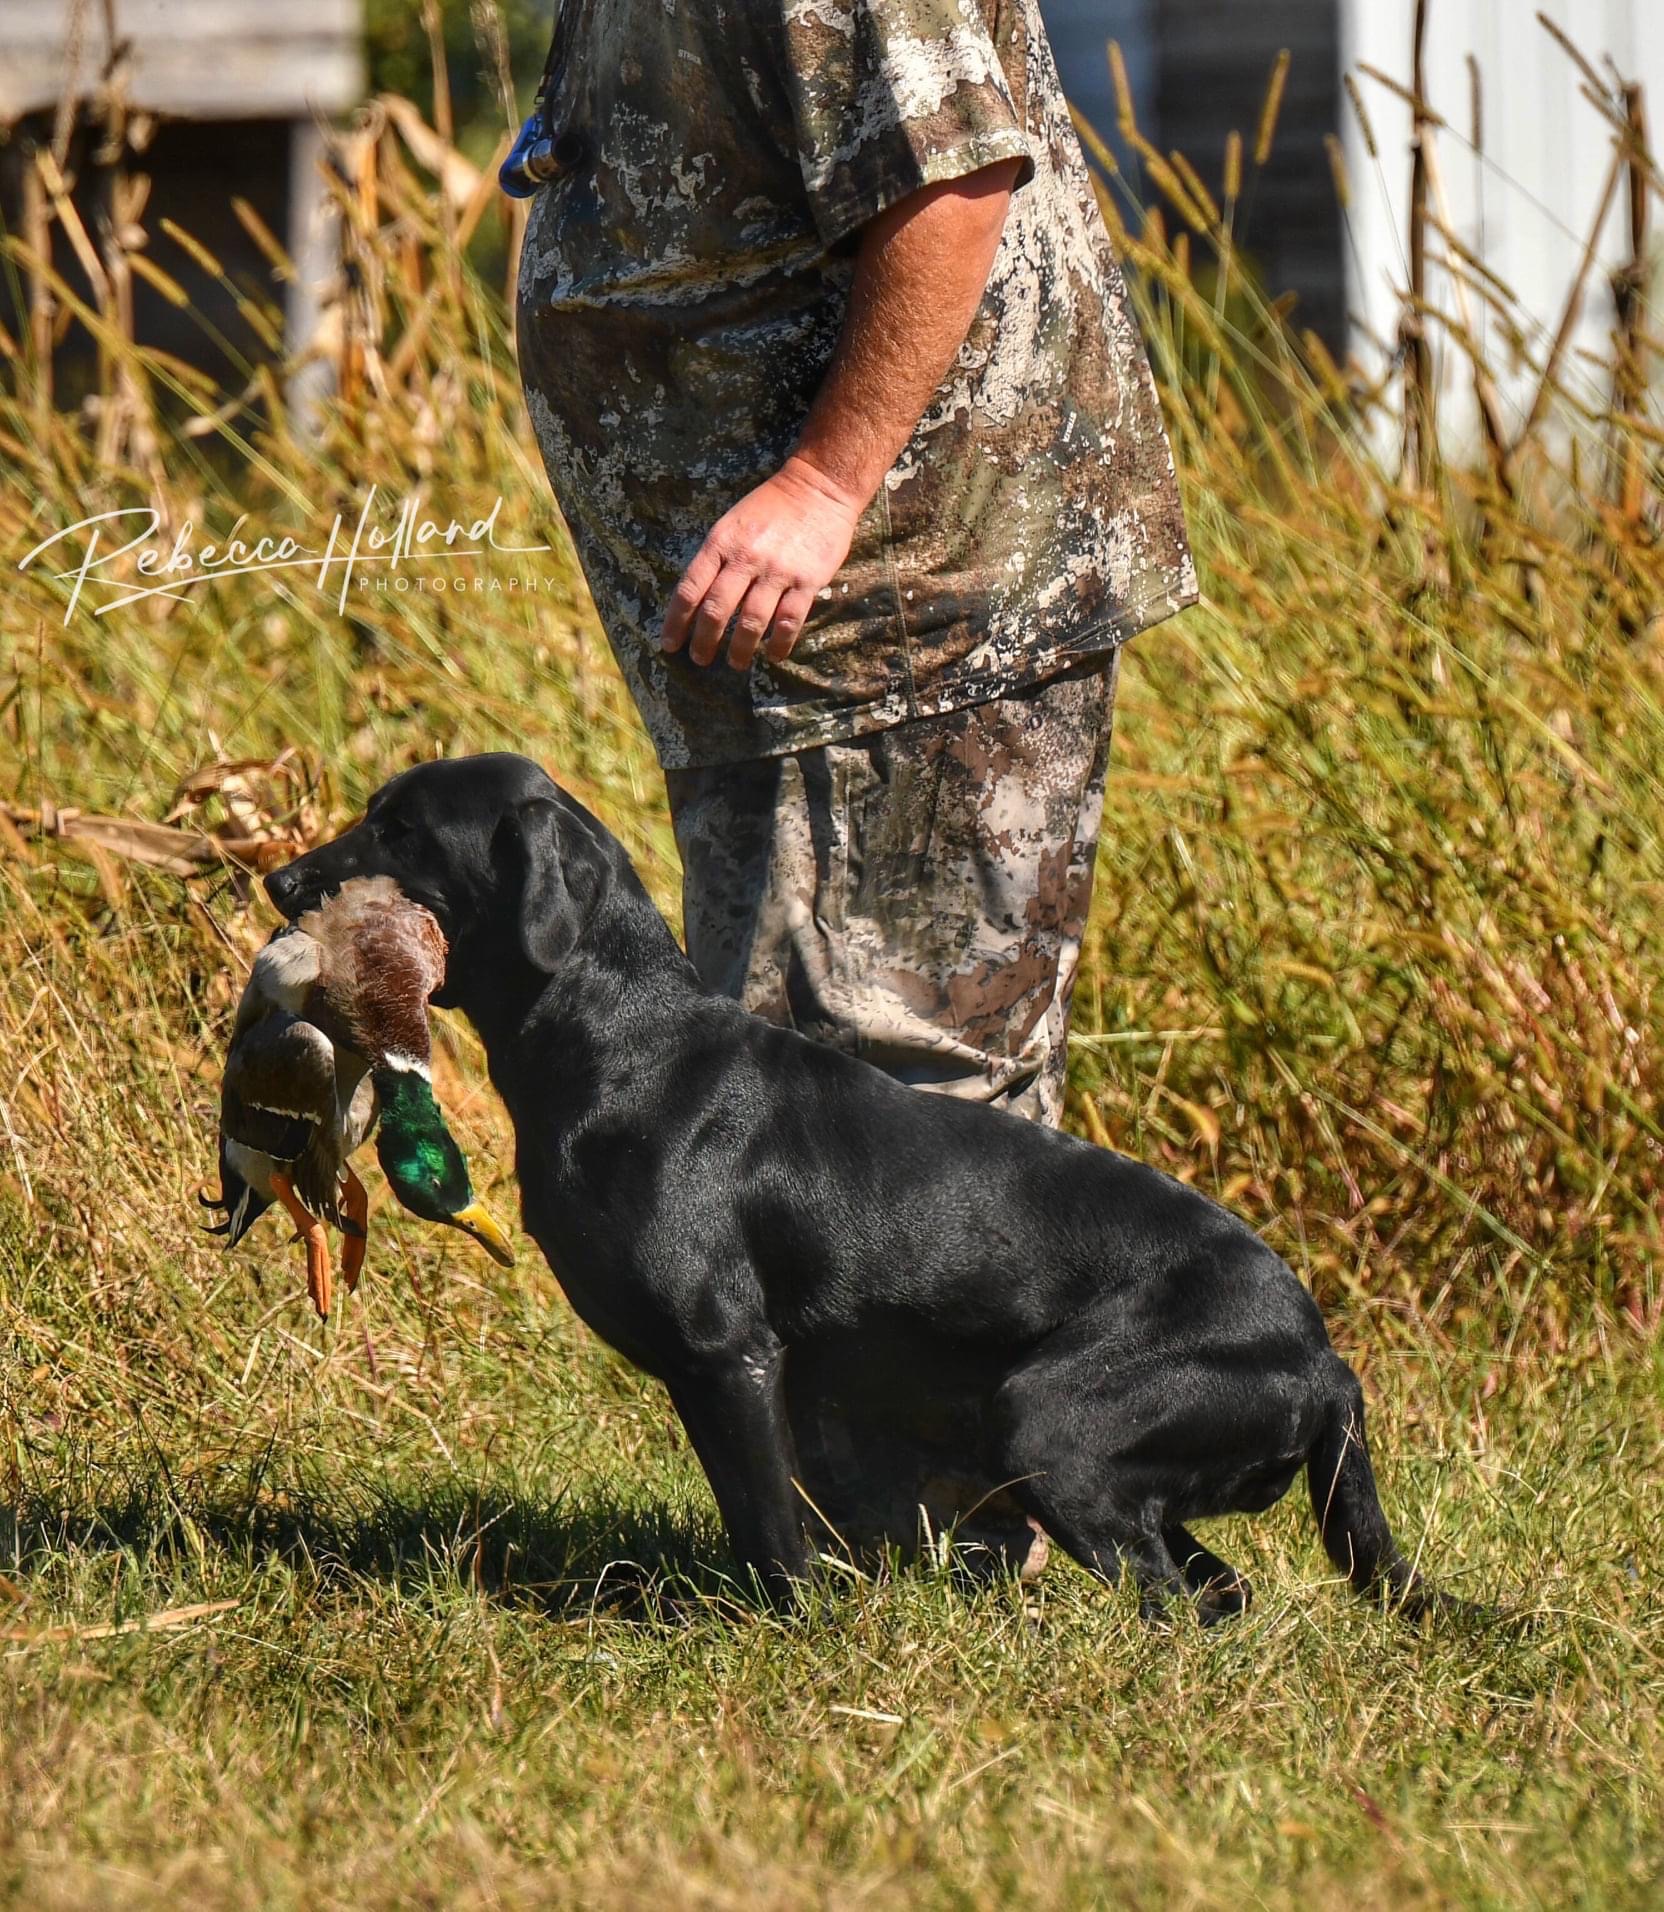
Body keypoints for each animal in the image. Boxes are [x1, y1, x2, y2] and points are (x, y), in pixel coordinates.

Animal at [267, 753, 1468, 1621]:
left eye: (403, 830)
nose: (277, 881)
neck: (620, 1045)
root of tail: (1325, 1359)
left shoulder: (730, 1355)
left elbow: (769, 1532)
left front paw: (791, 1636)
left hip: (1048, 1422)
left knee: (1176, 1603)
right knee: (1220, 1592)